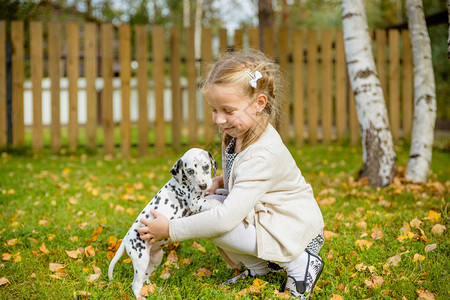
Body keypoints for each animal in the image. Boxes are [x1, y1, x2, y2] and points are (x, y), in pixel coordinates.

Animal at [109, 149, 221, 298]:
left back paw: (153, 289)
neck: (182, 182)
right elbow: (213, 201)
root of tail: (126, 238)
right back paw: (141, 296)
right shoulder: (196, 202)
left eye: (206, 166)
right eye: (190, 171)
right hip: (141, 259)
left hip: (156, 258)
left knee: (145, 278)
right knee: (136, 285)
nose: (203, 185)